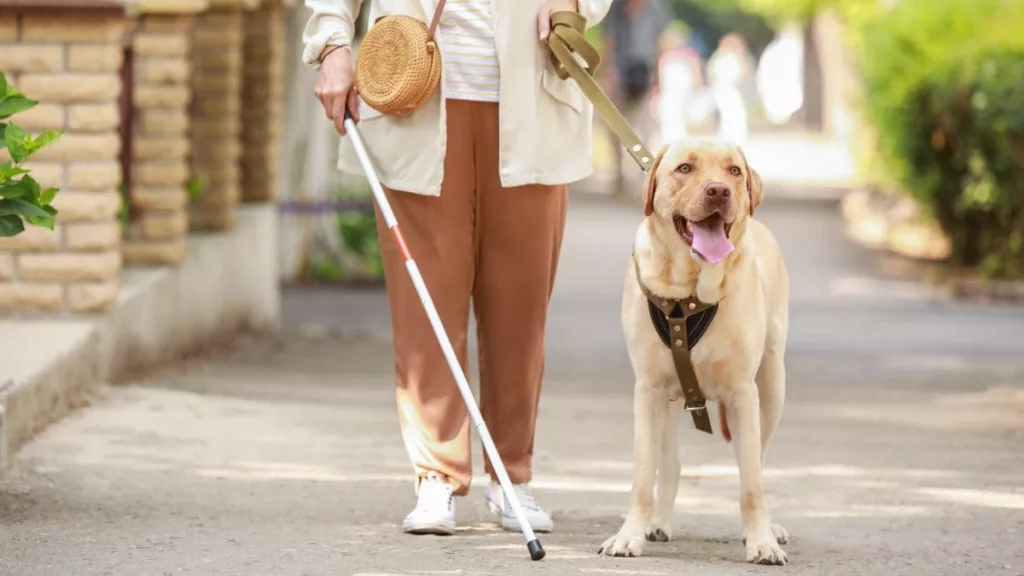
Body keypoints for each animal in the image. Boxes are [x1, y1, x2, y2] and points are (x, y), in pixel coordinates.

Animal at [598, 140, 790, 565]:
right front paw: (628, 536)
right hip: (669, 401)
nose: (719, 191)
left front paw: (762, 540)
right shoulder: (648, 390)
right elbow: (642, 476)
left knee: (758, 458)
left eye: (734, 171)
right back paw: (658, 522)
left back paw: (772, 527)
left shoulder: (744, 393)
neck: (687, 292)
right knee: (670, 464)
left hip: (772, 388)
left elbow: (751, 484)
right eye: (684, 168)